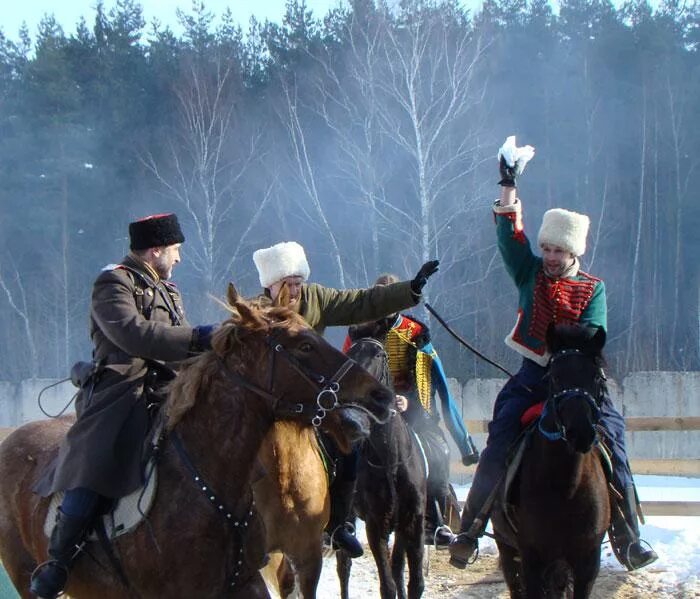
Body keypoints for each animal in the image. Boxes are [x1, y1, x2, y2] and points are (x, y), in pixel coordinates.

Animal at [338, 328, 426, 599]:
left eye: (378, 354)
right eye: (349, 353)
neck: (391, 460)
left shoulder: (412, 520)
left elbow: (414, 581)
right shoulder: (376, 524)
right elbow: (387, 585)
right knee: (343, 566)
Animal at [492, 326, 612, 596]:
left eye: (596, 378)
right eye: (554, 378)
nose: (581, 432)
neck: (567, 487)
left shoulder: (587, 563)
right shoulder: (532, 559)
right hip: (508, 551)